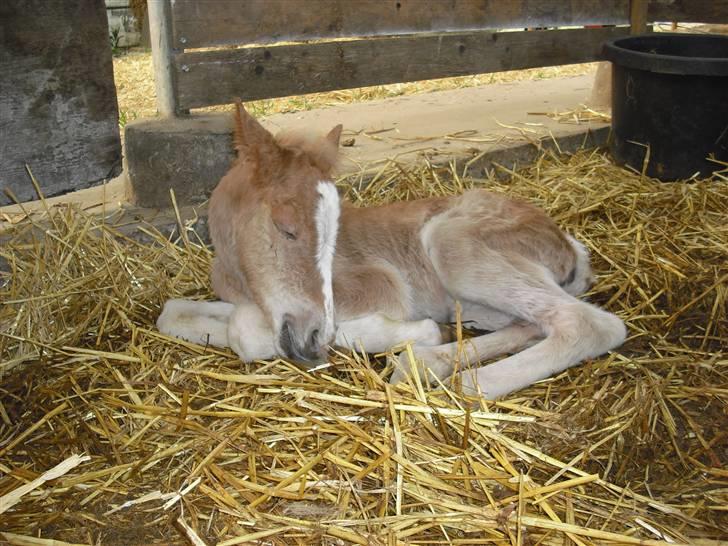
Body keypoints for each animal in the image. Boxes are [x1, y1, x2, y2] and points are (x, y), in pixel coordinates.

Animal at [159, 102, 624, 398]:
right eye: (287, 229)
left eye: (335, 235)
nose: (312, 339)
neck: (241, 278)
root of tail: (569, 247)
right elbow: (176, 314)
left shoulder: (380, 285)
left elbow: (248, 331)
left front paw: (403, 333)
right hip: (481, 303)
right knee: (533, 322)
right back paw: (428, 363)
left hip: (453, 244)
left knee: (589, 323)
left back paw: (464, 384)